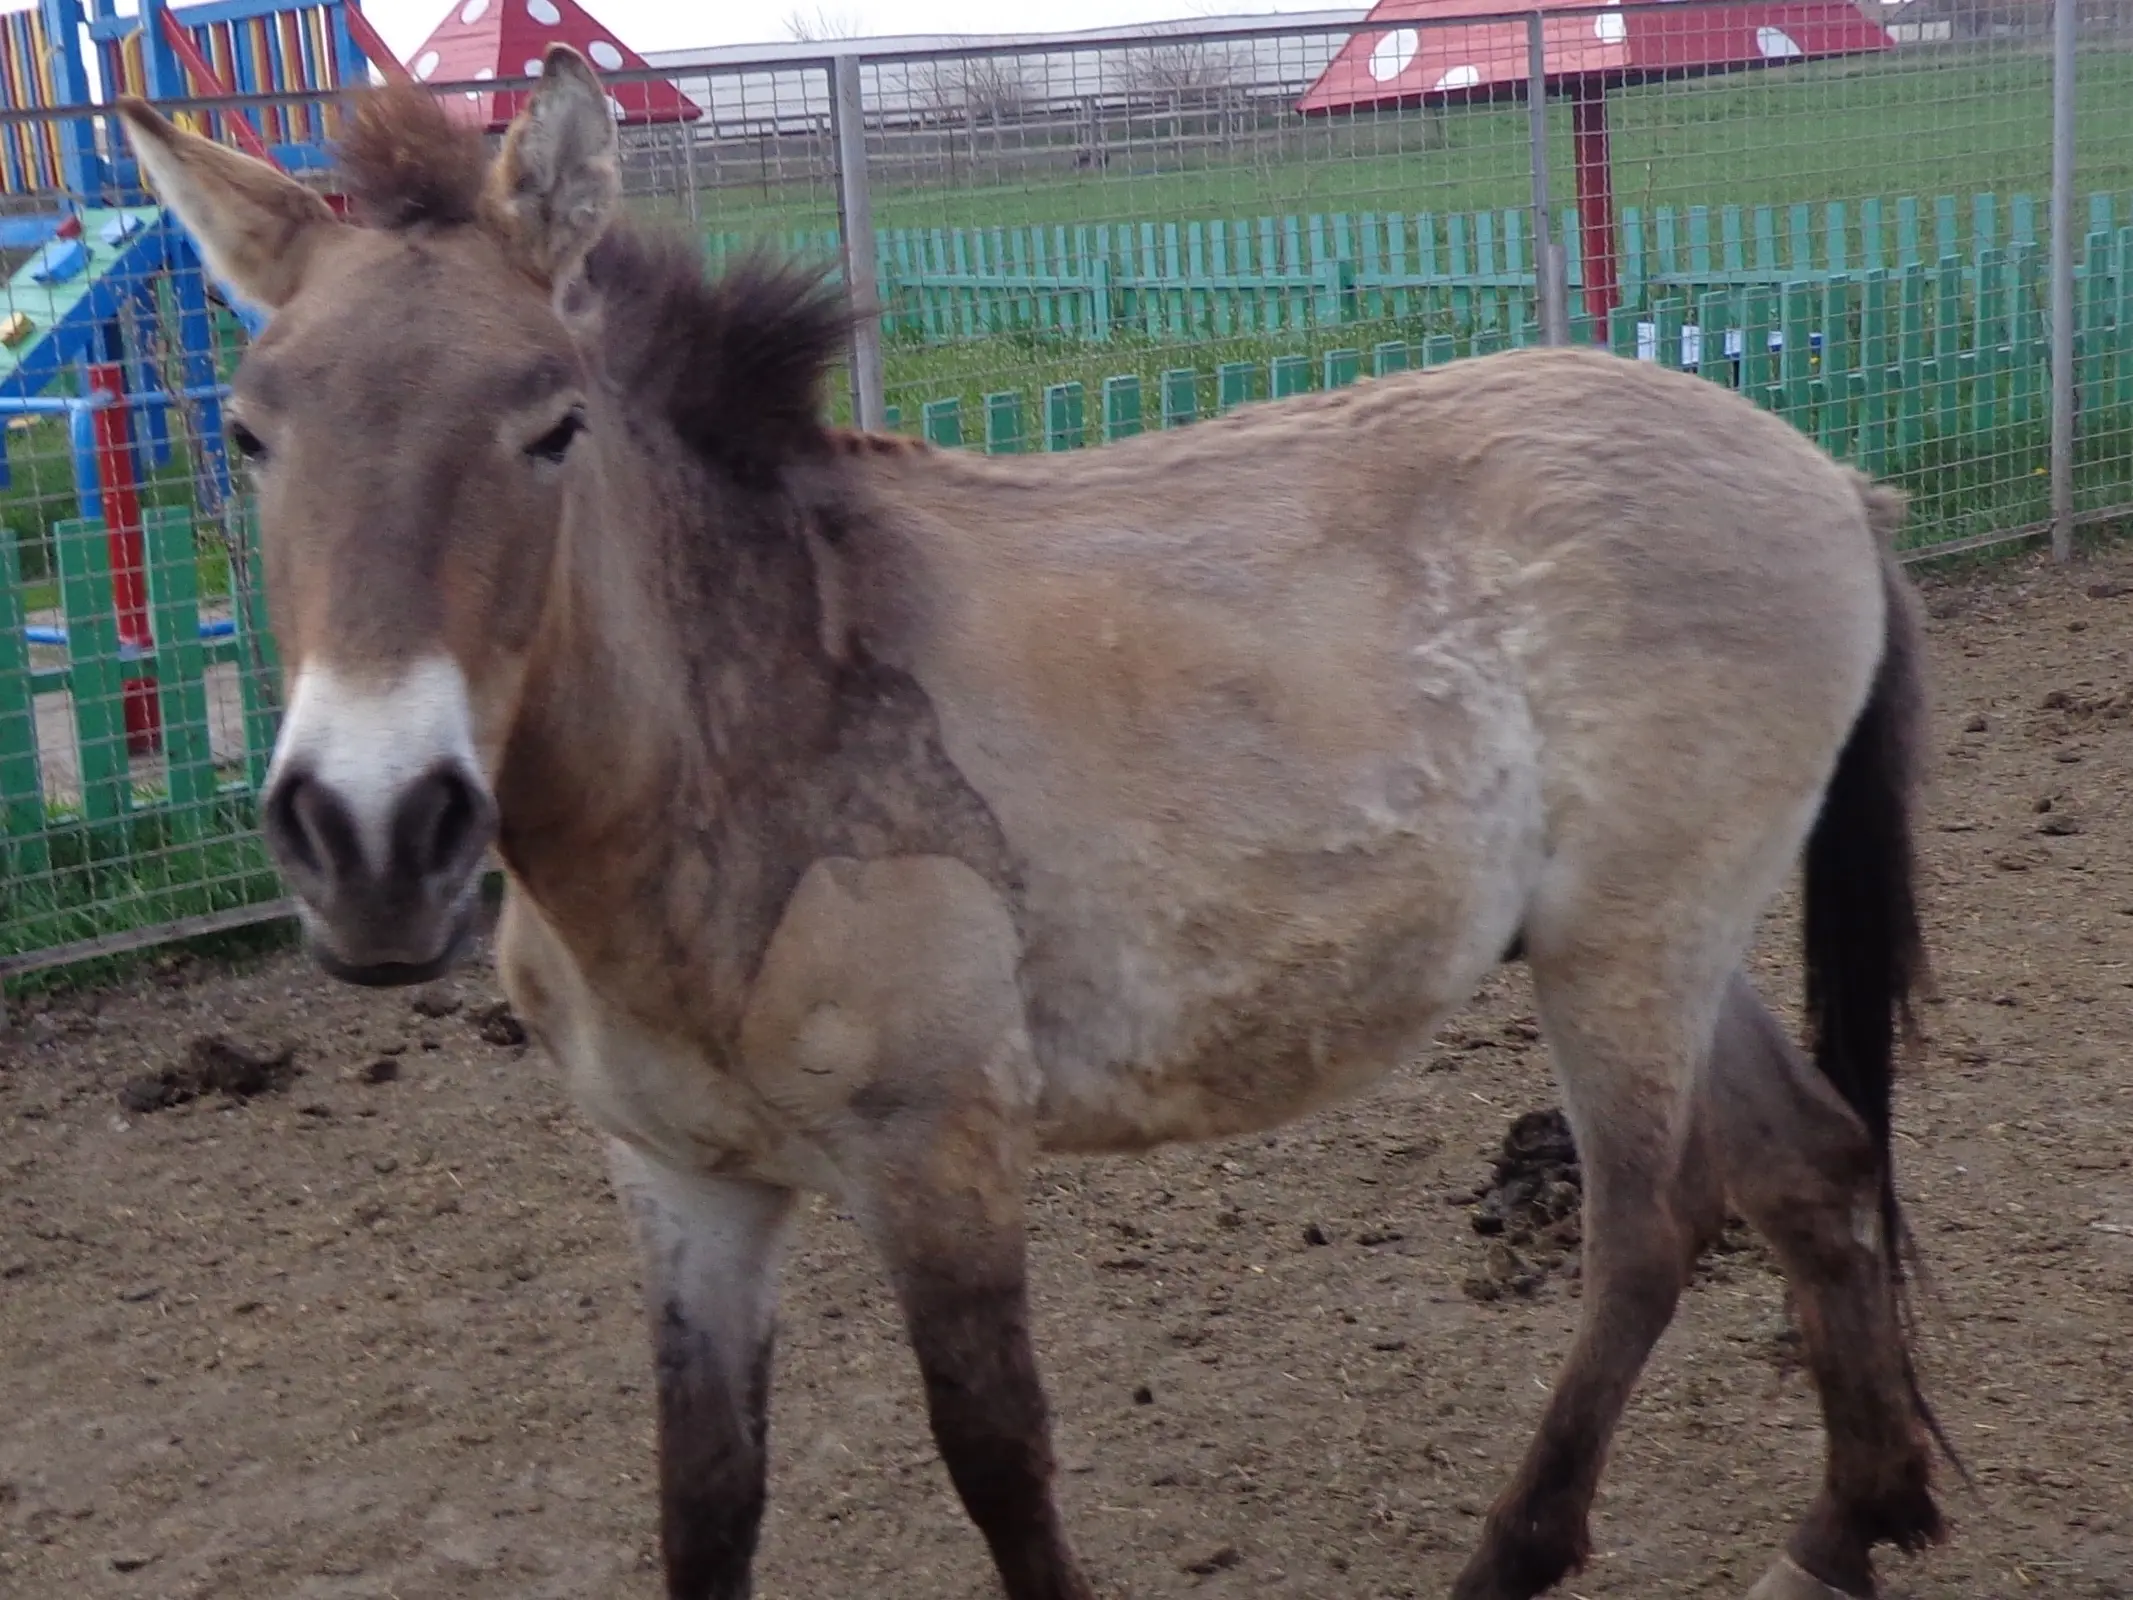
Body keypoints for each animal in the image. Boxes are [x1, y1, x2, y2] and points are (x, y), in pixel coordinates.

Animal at [121, 50, 1953, 1600]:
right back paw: (1842, 1529)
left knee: (1647, 1233)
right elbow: (703, 1500)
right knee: (1809, 1164)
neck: (756, 726)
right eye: (249, 432)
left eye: (551, 423)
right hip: (1656, 942)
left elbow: (996, 1463)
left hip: (1627, 956)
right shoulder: (683, 1188)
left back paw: (1523, 1553)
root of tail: (1822, 475)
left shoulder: (939, 1157)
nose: (371, 835)